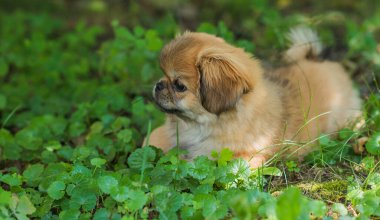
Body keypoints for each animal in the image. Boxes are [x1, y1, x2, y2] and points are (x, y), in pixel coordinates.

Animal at [144, 27, 360, 168]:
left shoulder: (246, 155)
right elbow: (152, 138)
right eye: (162, 74)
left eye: (179, 86)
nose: (158, 85)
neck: (198, 127)